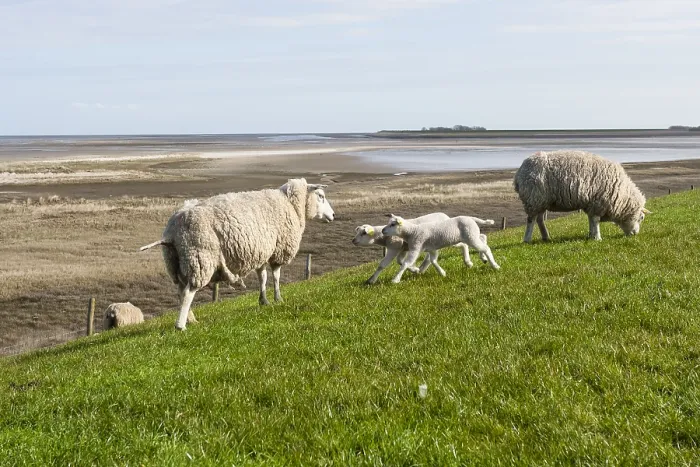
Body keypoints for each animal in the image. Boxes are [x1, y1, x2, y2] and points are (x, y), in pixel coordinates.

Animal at [140, 178, 335, 330]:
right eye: (321, 196)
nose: (333, 215)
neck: (291, 204)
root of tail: (172, 232)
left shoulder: (262, 251)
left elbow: (262, 277)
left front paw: (263, 300)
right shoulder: (278, 249)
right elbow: (276, 276)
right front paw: (278, 298)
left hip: (177, 261)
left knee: (180, 291)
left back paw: (191, 319)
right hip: (200, 258)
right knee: (188, 292)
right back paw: (181, 325)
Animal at [513, 150, 650, 242]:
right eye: (641, 218)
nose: (635, 234)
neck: (621, 194)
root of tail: (519, 172)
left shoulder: (591, 203)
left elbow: (591, 220)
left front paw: (591, 235)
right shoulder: (598, 202)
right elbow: (595, 220)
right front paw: (597, 238)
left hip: (542, 200)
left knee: (540, 219)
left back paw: (546, 237)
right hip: (534, 198)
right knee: (531, 220)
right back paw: (527, 239)